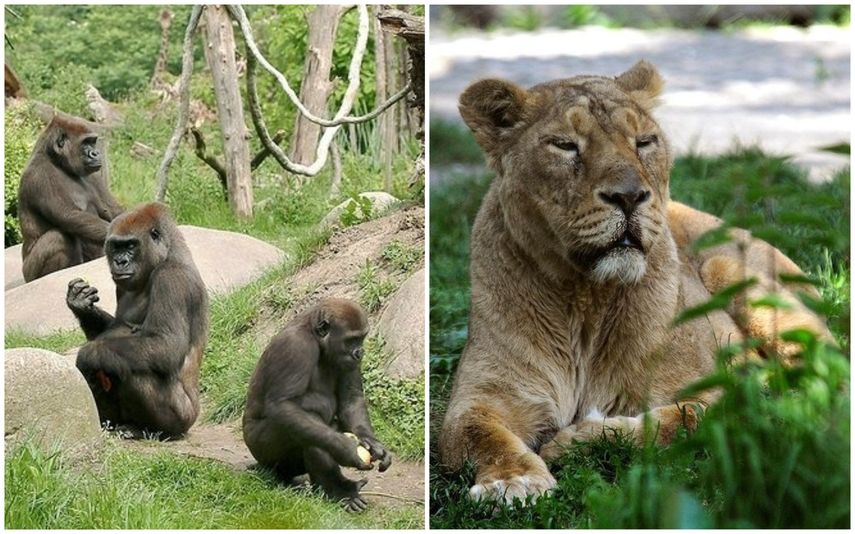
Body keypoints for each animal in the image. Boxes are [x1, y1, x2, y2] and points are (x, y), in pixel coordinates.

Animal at [438, 60, 833, 505]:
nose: (629, 196)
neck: (585, 300)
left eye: (644, 142)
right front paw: (513, 481)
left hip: (735, 275)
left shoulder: (729, 389)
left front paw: (576, 442)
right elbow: (474, 434)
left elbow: (681, 419)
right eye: (565, 145)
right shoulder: (483, 395)